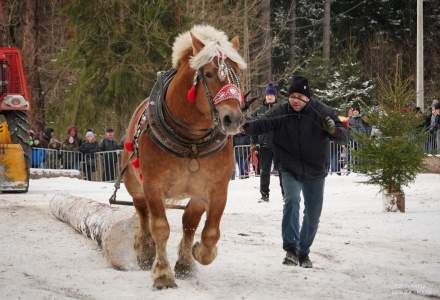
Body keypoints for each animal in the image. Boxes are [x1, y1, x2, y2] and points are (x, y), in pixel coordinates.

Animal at [120, 25, 248, 288]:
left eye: (237, 73)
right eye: (208, 74)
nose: (233, 119)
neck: (192, 144)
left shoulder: (214, 188)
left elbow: (206, 230)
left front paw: (195, 255)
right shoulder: (153, 185)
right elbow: (160, 227)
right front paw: (162, 274)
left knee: (187, 221)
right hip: (134, 184)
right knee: (143, 214)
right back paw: (145, 250)